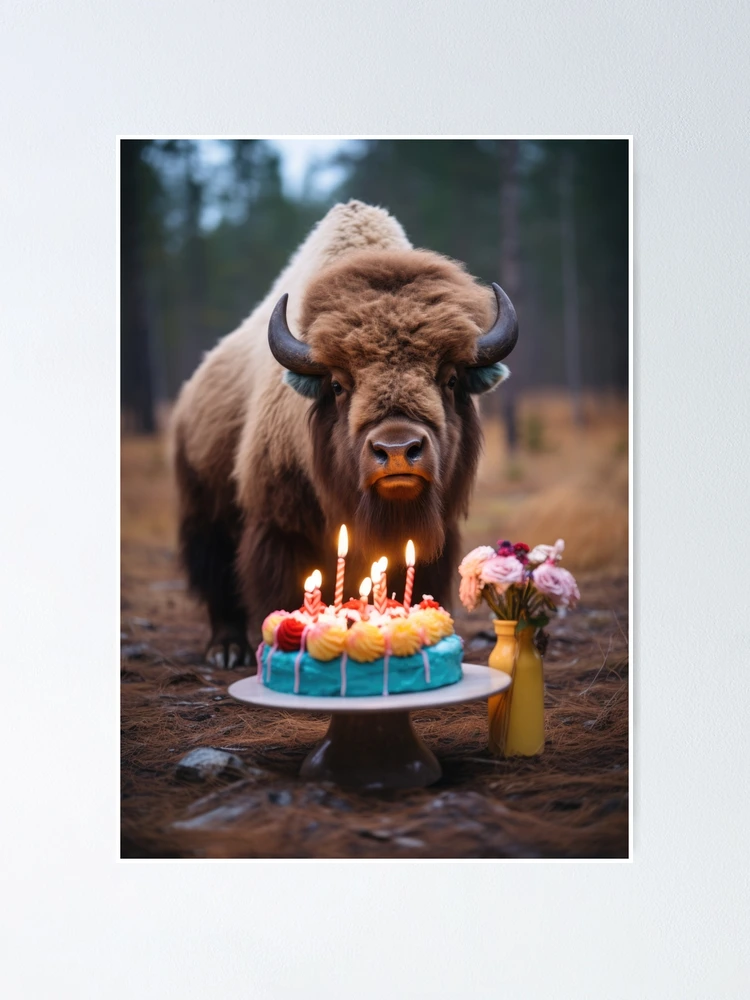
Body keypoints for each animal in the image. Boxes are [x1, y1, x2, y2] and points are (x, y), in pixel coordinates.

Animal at [171, 200, 518, 666]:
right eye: (337, 384)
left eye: (449, 379)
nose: (397, 450)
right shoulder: (279, 526)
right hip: (207, 513)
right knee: (217, 582)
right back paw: (227, 651)